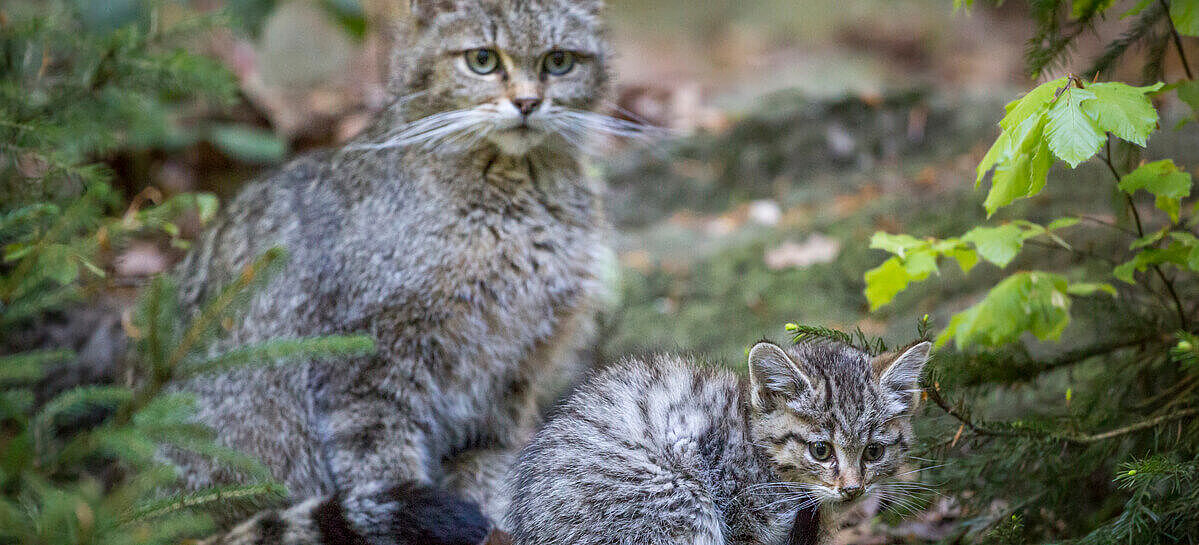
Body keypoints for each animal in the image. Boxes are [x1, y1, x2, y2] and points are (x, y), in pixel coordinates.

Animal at [178, 2, 628, 543]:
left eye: (558, 62)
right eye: (482, 59)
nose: (527, 102)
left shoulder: (510, 368)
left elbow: (490, 459)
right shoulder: (370, 355)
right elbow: (379, 458)